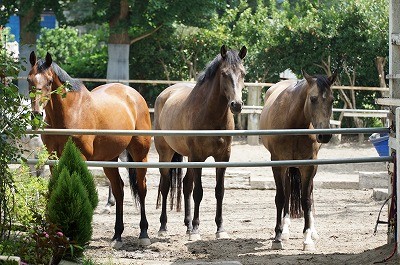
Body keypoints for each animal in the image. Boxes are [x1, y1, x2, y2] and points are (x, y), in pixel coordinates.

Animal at [26, 51, 152, 248]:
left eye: (49, 81)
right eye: (29, 79)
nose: (37, 114)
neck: (69, 112)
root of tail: (133, 94)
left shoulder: (80, 157)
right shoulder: (54, 159)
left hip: (140, 154)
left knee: (142, 188)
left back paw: (144, 233)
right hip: (109, 159)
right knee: (119, 190)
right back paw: (117, 236)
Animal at [154, 44, 245, 239]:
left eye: (243, 73)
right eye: (224, 74)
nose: (237, 105)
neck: (210, 114)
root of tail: (164, 94)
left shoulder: (222, 158)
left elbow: (219, 191)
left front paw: (220, 229)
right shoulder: (198, 157)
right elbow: (198, 192)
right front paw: (196, 229)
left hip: (188, 158)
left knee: (185, 185)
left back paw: (187, 225)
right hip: (166, 154)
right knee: (165, 186)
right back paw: (163, 227)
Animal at [260, 69, 338, 250]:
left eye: (332, 100)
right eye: (313, 98)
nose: (325, 135)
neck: (293, 122)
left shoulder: (308, 166)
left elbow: (306, 200)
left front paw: (307, 238)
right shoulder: (278, 164)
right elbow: (281, 198)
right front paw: (278, 236)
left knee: (309, 193)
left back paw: (312, 230)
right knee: (287, 192)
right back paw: (285, 229)